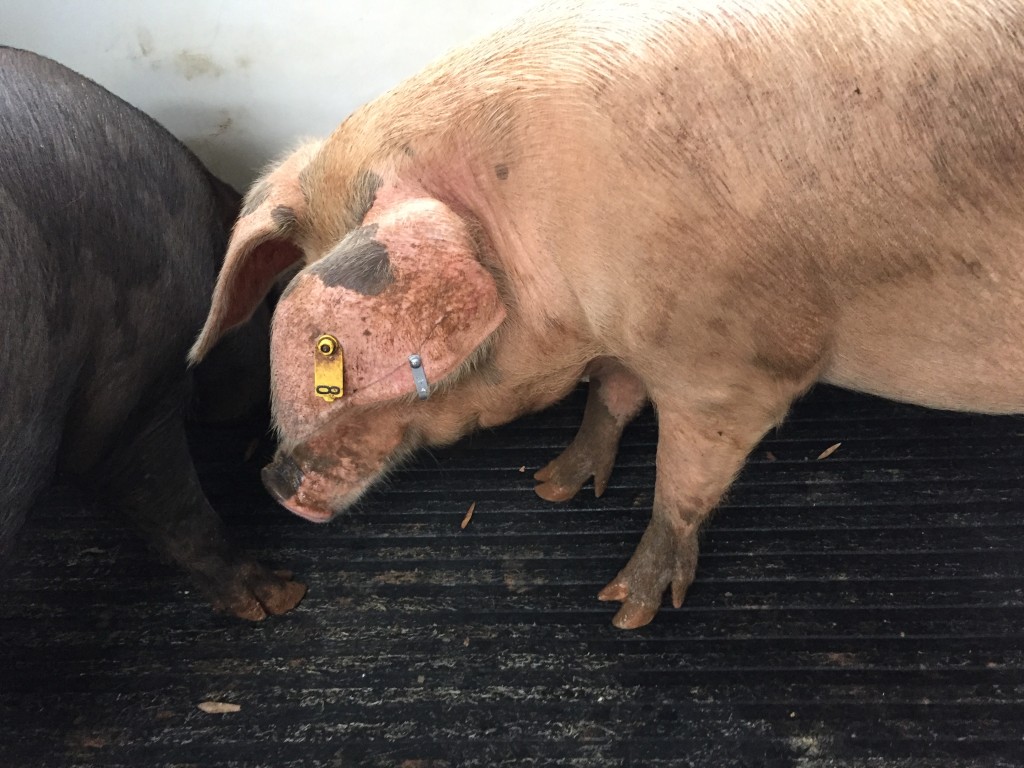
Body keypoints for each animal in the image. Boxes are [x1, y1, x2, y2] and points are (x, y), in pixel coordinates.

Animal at [193, 1, 1024, 630]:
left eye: (336, 356)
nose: (274, 481)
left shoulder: (735, 368)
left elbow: (682, 485)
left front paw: (625, 609)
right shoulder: (624, 336)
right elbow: (614, 397)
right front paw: (554, 486)